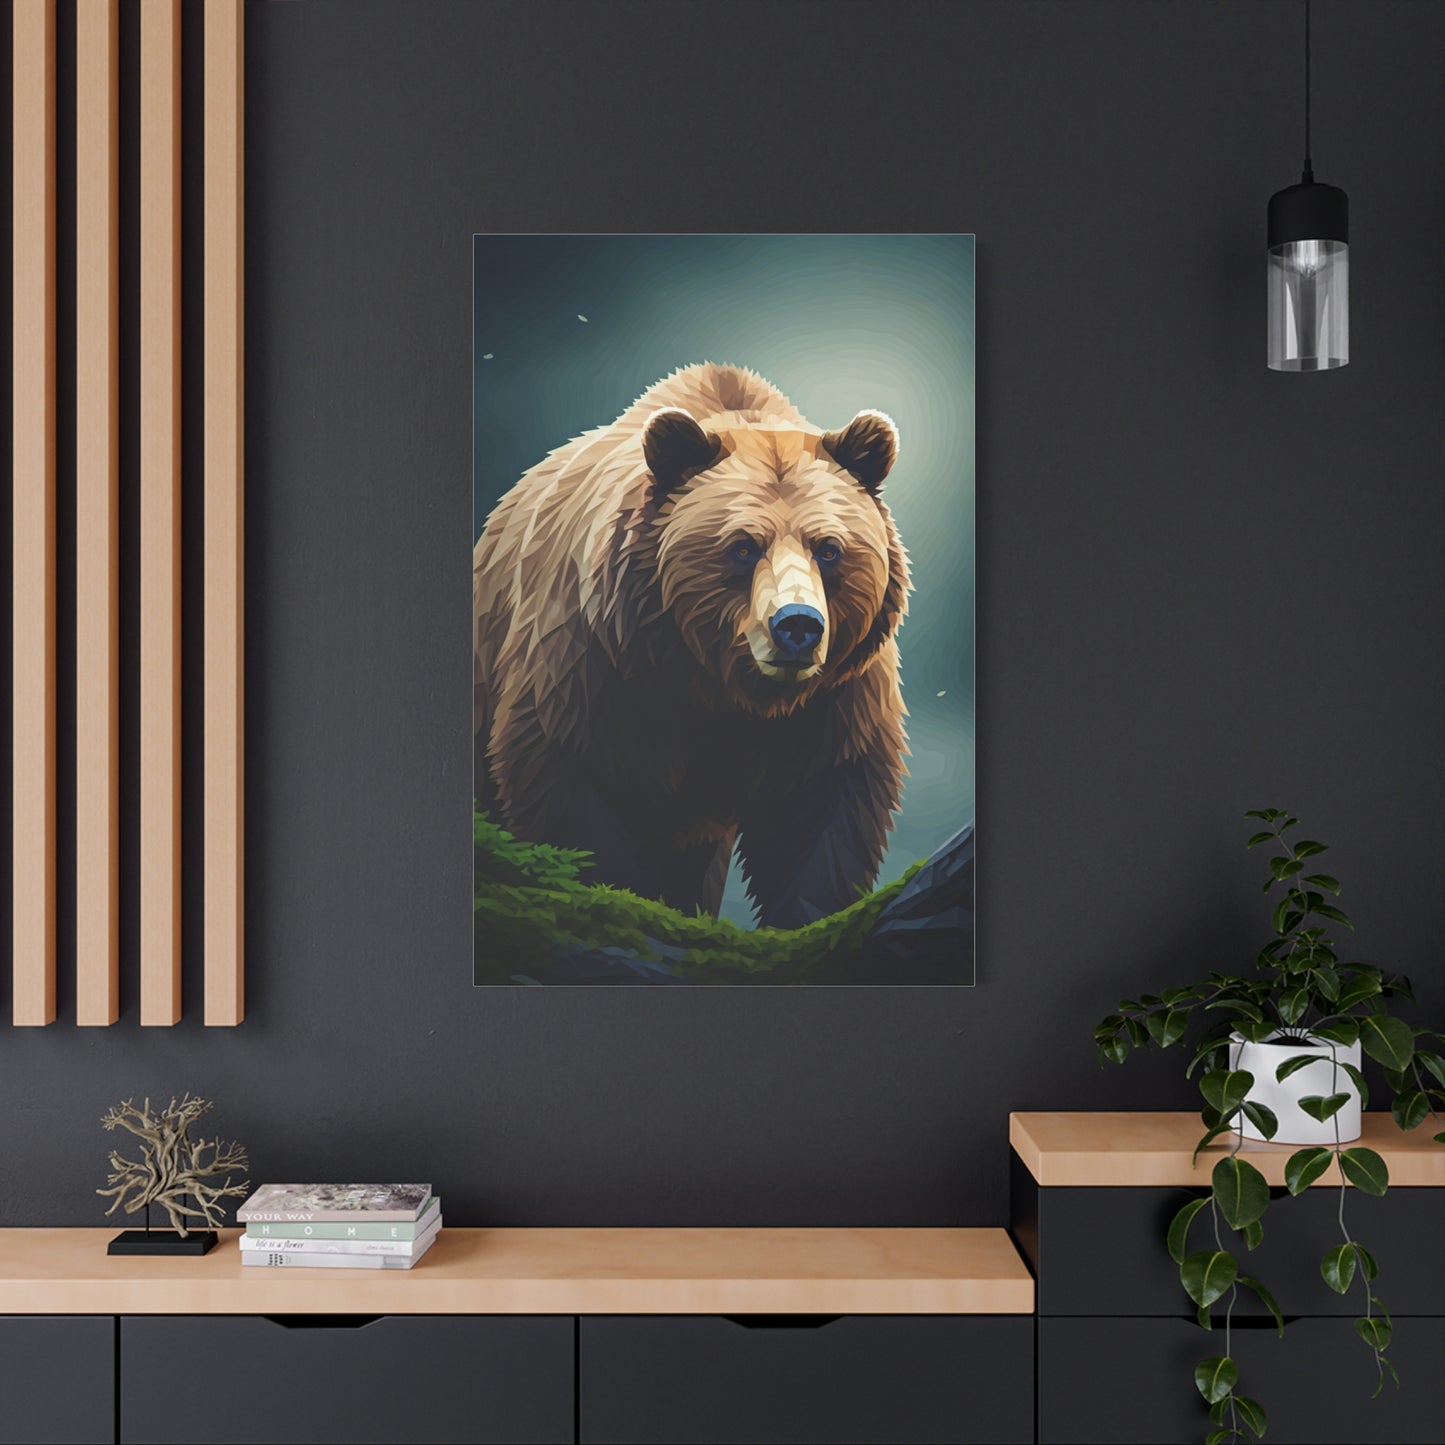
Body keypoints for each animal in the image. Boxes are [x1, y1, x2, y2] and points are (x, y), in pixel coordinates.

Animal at [473, 362, 911, 930]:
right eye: (743, 547)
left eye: (829, 549)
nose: (797, 625)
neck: (717, 684)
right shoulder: (594, 667)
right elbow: (578, 792)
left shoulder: (836, 699)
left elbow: (820, 819)